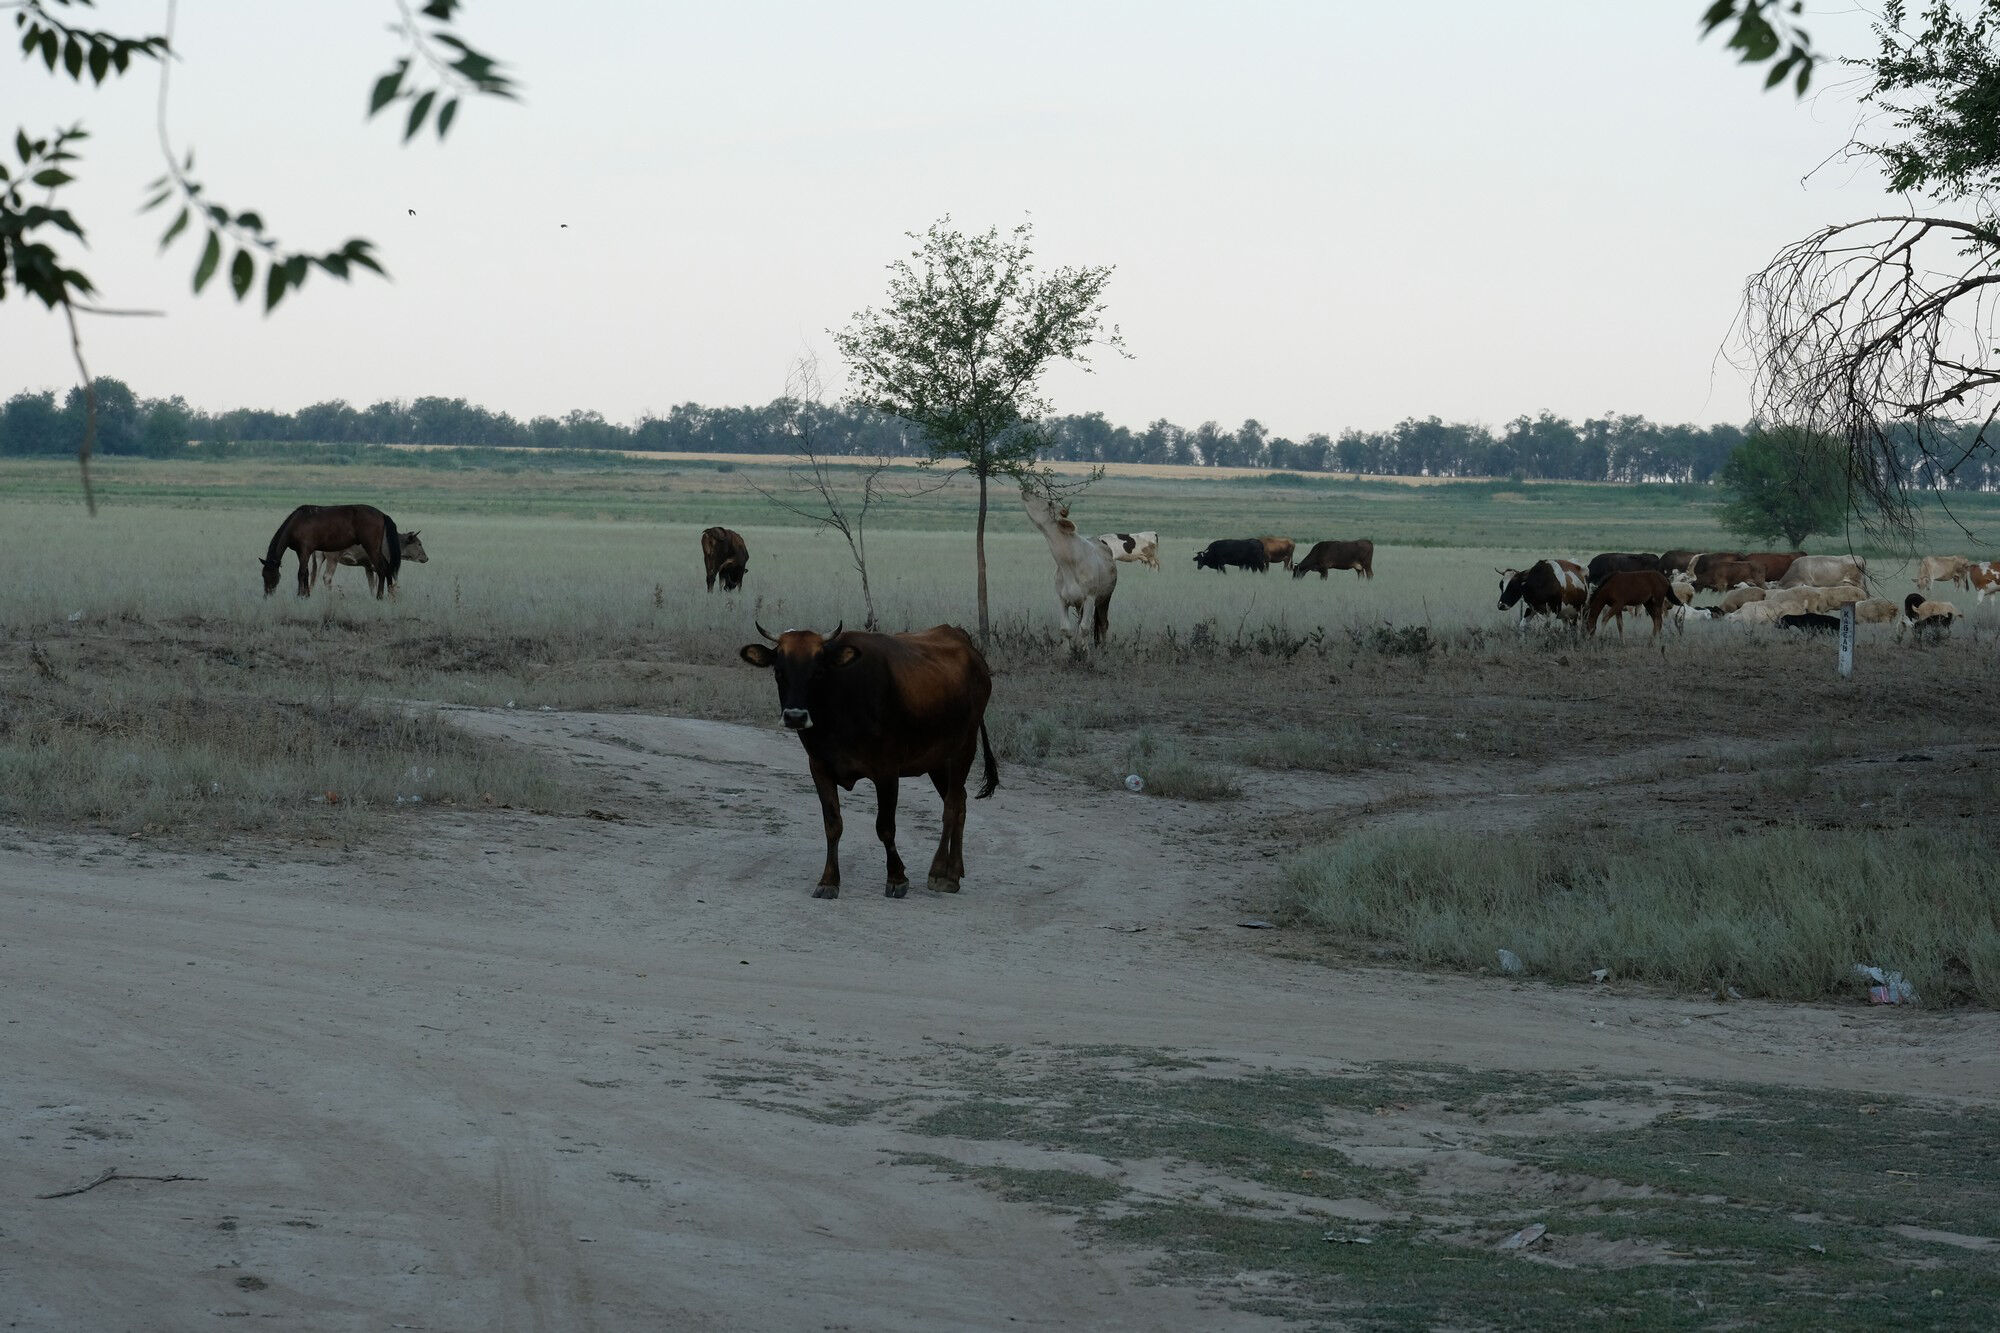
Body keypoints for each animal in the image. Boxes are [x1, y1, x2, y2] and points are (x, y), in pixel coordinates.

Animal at [262, 504, 402, 596]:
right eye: (263, 575)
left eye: (273, 575)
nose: (267, 594)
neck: (297, 522)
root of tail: (382, 514)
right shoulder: (300, 552)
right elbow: (306, 573)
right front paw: (306, 595)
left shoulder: (305, 550)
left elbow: (301, 573)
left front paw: (299, 596)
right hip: (377, 549)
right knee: (387, 568)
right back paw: (390, 595)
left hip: (371, 548)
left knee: (381, 569)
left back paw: (379, 597)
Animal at [740, 620, 996, 892]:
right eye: (779, 671)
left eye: (818, 671)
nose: (795, 717)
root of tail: (962, 638)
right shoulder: (819, 767)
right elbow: (833, 824)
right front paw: (829, 880)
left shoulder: (887, 771)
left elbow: (885, 827)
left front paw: (896, 877)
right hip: (937, 760)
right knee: (961, 802)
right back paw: (955, 870)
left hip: (963, 748)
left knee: (952, 805)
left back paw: (941, 873)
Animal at [1024, 490, 1120, 652]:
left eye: (1049, 503)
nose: (1026, 492)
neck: (1068, 563)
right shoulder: (1062, 599)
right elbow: (1066, 629)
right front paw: (1069, 652)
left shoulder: (1090, 598)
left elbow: (1085, 628)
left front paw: (1085, 652)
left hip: (1105, 598)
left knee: (1103, 624)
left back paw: (1104, 649)